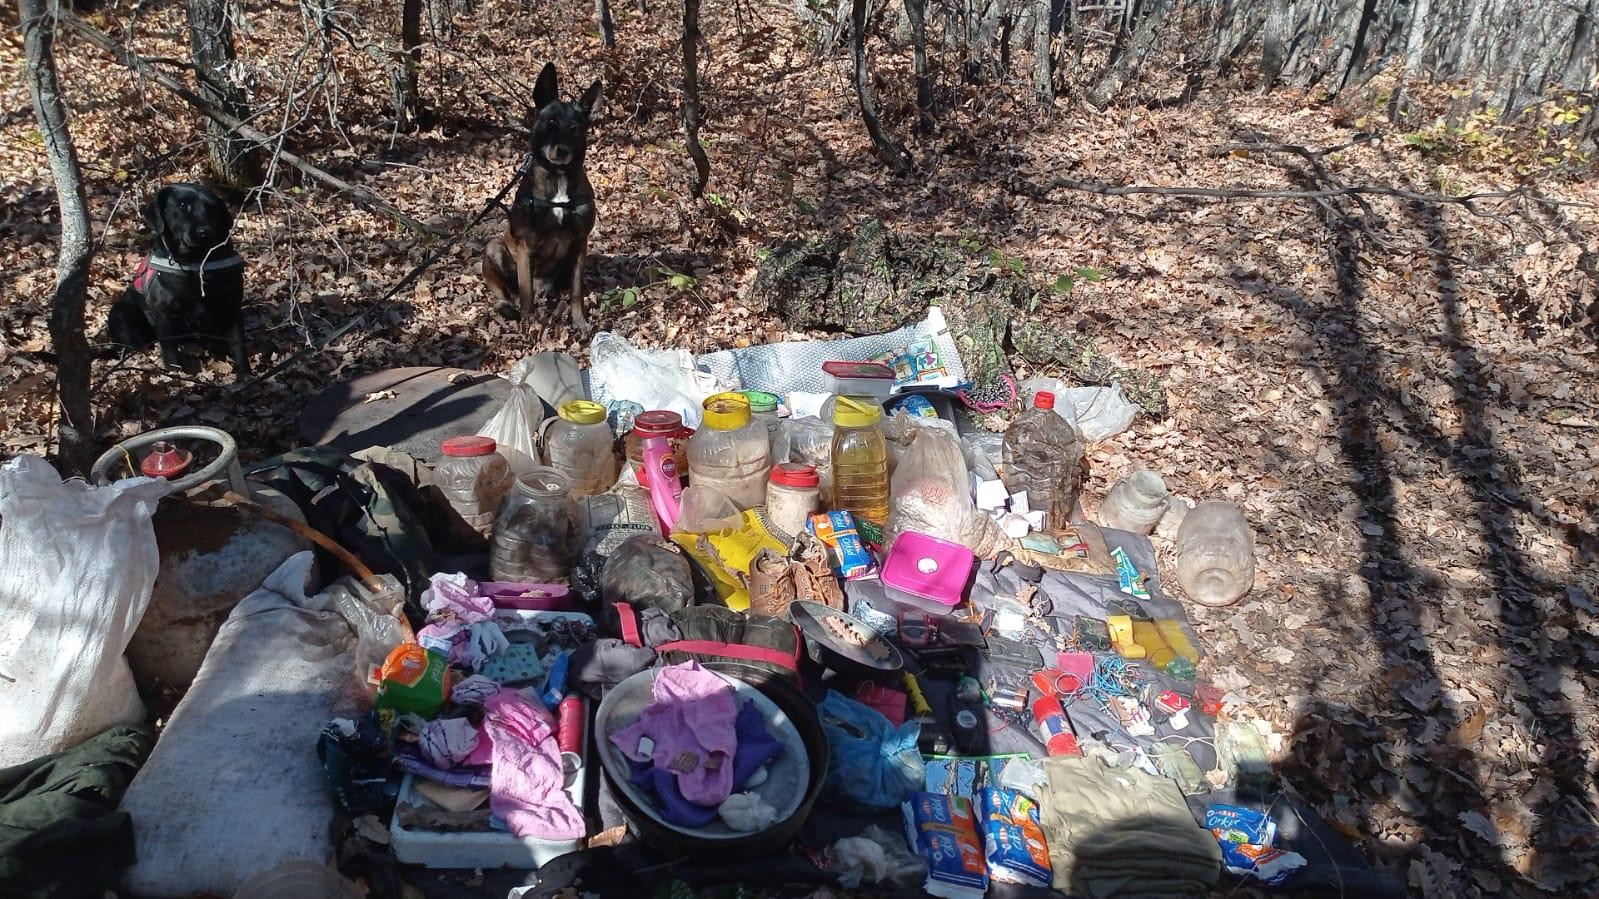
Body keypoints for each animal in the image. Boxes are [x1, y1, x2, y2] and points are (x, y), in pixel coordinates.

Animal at [107, 182, 249, 377]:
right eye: (182, 205)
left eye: (212, 208)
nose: (205, 232)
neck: (196, 264)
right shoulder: (163, 314)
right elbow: (170, 352)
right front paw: (176, 377)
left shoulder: (232, 305)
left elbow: (239, 344)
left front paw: (246, 376)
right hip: (120, 312)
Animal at [482, 63, 601, 331]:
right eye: (552, 121)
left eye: (575, 129)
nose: (562, 151)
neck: (558, 177)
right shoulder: (525, 246)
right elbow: (526, 296)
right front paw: (529, 326)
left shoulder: (580, 243)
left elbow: (577, 292)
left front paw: (580, 321)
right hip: (493, 248)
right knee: (506, 292)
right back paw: (507, 307)